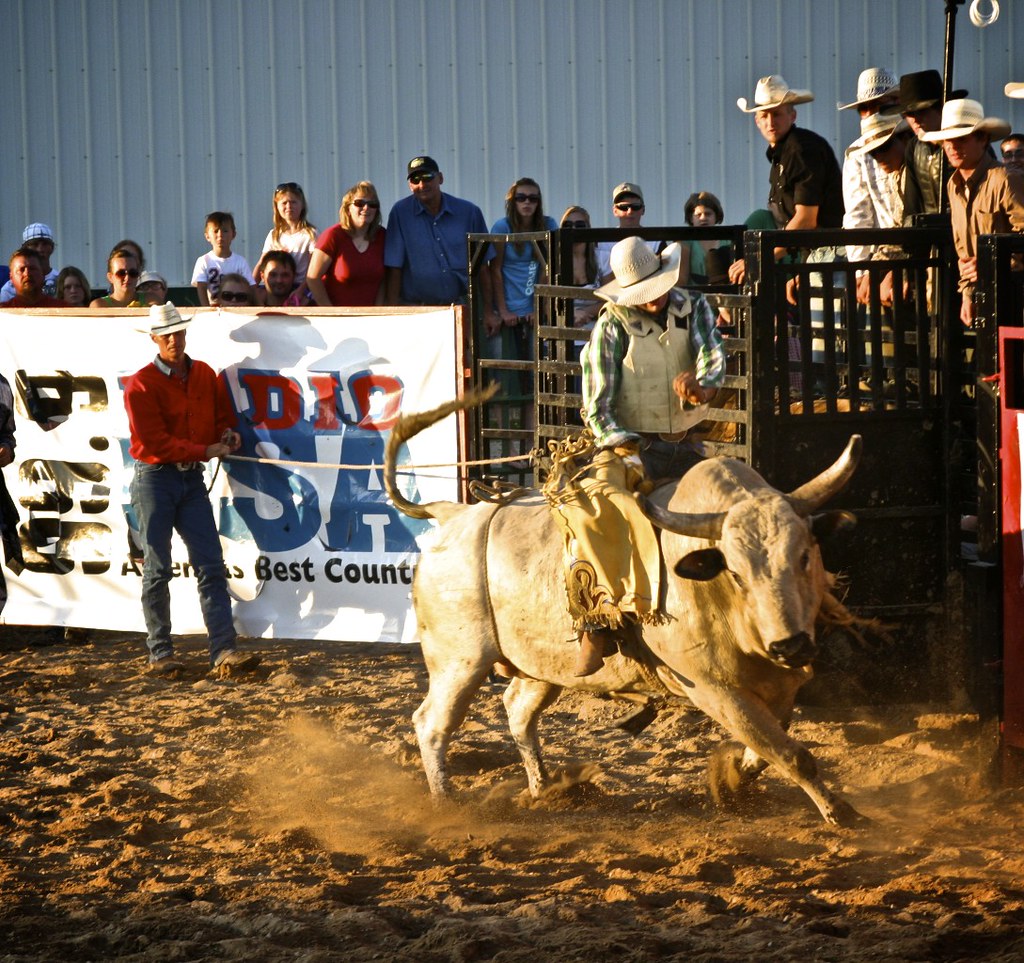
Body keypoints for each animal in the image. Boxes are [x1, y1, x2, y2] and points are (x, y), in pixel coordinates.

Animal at [384, 390, 866, 826]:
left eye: (804, 556)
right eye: (736, 572)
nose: (790, 646)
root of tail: (452, 515)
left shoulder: (780, 686)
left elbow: (766, 751)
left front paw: (734, 780)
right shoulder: (714, 690)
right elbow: (788, 752)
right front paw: (840, 812)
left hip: (541, 666)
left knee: (518, 708)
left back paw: (544, 789)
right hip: (459, 661)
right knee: (432, 723)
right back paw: (447, 804)